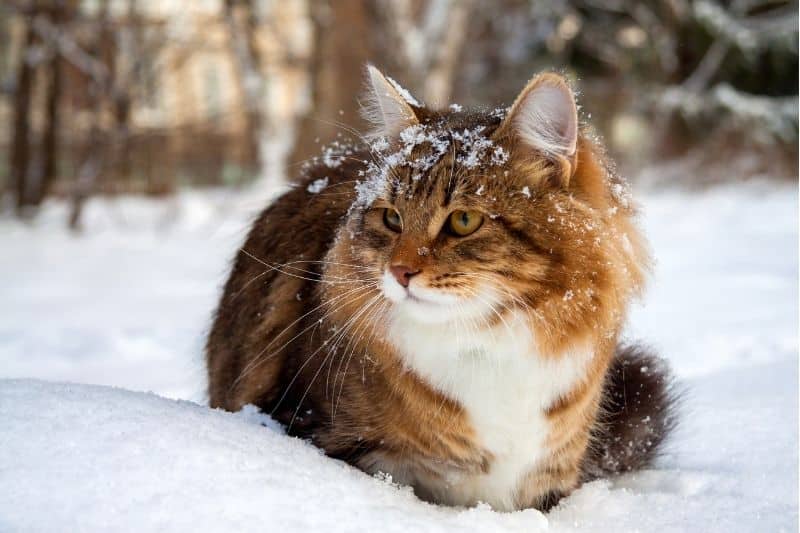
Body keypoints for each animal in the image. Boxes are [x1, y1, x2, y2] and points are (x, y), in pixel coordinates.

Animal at [206, 66, 676, 512]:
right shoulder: (310, 423)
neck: (485, 343)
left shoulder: (551, 475)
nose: (399, 271)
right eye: (391, 218)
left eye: (464, 221)